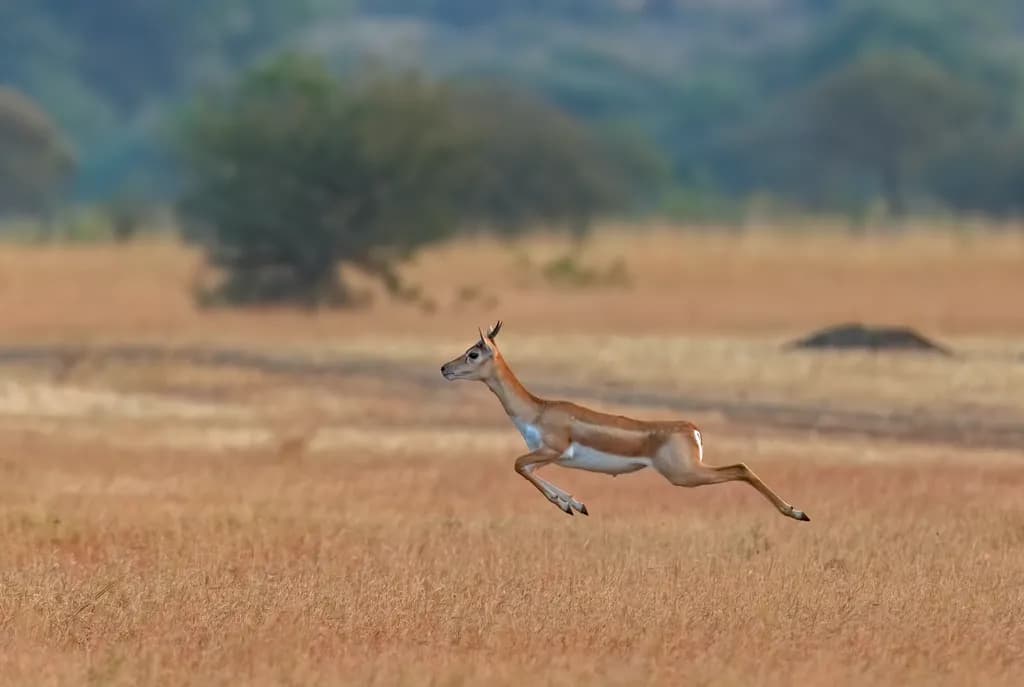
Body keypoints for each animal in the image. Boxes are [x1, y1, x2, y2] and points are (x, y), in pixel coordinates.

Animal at [441, 321, 810, 521]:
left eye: (473, 353)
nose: (445, 368)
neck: (538, 409)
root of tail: (692, 429)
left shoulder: (554, 450)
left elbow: (518, 464)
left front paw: (570, 504)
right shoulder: (550, 458)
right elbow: (527, 469)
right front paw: (574, 504)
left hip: (685, 475)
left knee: (741, 468)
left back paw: (797, 512)